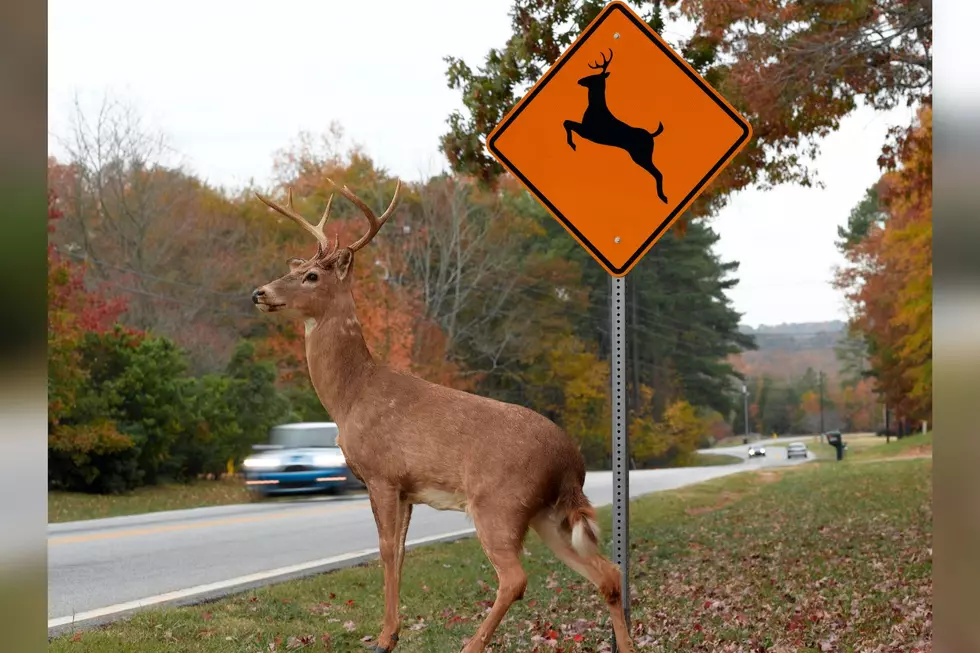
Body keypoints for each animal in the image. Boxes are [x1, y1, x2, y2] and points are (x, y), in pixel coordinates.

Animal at [249, 180, 640, 652]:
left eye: (312, 275)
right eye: (298, 266)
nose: (260, 292)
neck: (351, 395)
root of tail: (572, 462)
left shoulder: (382, 474)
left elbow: (385, 549)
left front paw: (384, 637)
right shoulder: (407, 489)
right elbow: (399, 552)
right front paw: (392, 633)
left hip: (499, 503)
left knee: (516, 578)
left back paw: (471, 644)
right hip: (548, 513)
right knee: (607, 573)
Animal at [564, 47, 668, 204]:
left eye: (594, 76)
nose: (579, 80)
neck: (595, 108)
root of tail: (651, 135)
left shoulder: (588, 132)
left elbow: (567, 122)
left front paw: (572, 144)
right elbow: (566, 122)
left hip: (641, 155)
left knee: (658, 173)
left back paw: (663, 197)